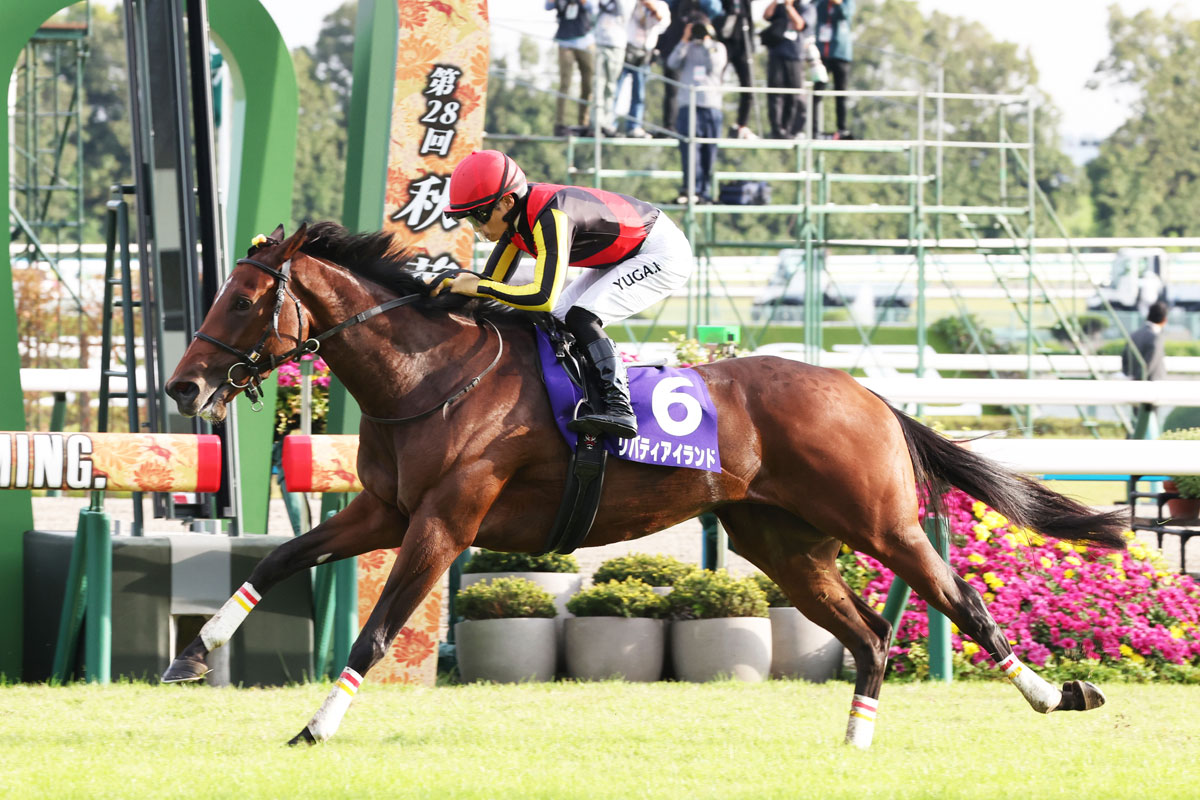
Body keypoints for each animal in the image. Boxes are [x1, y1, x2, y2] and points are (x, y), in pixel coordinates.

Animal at [162, 222, 1126, 747]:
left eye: (243, 300)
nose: (183, 388)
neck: (430, 373)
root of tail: (869, 394)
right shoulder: (384, 510)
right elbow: (278, 559)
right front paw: (193, 652)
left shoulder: (444, 521)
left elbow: (377, 628)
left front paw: (316, 725)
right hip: (781, 542)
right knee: (869, 635)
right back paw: (855, 738)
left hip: (880, 522)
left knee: (958, 599)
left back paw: (1053, 693)